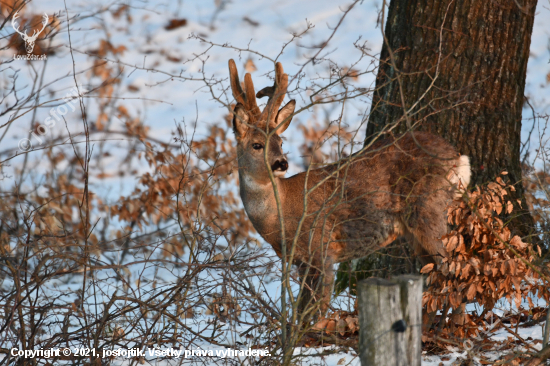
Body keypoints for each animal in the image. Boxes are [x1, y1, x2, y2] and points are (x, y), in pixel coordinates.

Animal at [226, 58, 472, 318]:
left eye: (280, 142)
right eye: (256, 145)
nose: (281, 163)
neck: (280, 217)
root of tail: (459, 158)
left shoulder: (322, 250)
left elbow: (315, 312)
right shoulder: (301, 262)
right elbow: (300, 312)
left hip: (429, 209)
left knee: (455, 268)